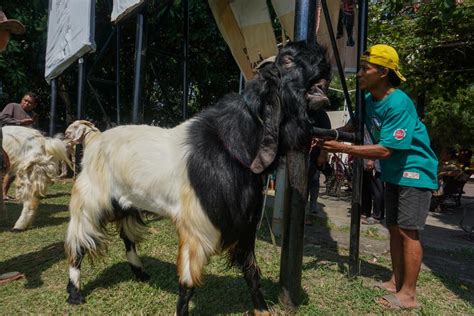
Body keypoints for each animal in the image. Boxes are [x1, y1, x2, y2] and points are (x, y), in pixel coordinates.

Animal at [63, 40, 332, 314]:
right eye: (287, 60)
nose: (324, 58)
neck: (232, 143)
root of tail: (95, 138)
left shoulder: (245, 227)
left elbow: (251, 273)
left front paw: (262, 309)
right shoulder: (197, 228)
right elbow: (188, 283)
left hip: (127, 204)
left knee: (127, 238)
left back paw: (140, 273)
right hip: (89, 202)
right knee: (78, 244)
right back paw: (74, 293)